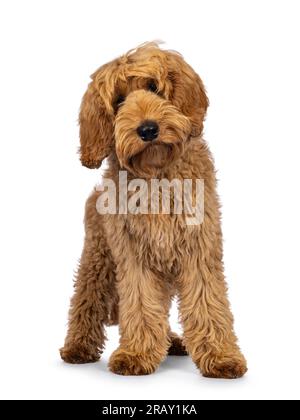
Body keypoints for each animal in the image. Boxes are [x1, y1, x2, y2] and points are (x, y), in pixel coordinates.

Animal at [59, 41, 247, 378]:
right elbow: (140, 305)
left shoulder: (199, 248)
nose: (147, 129)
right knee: (86, 299)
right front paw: (136, 354)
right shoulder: (133, 255)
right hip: (99, 258)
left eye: (154, 87)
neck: (156, 173)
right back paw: (78, 347)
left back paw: (172, 341)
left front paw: (220, 356)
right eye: (119, 100)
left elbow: (208, 302)